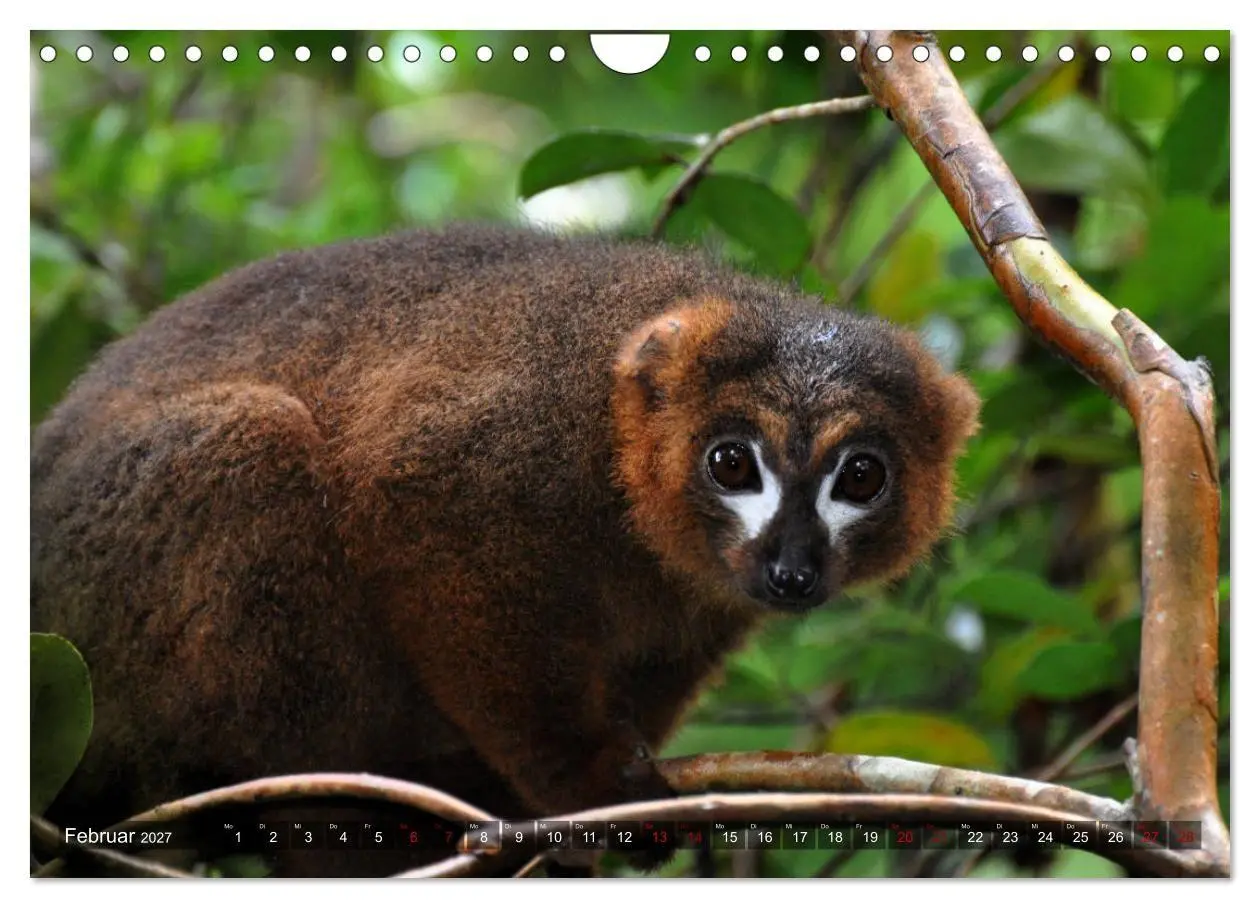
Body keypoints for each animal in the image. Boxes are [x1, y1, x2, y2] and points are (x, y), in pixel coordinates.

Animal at [30, 223, 980, 876]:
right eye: (732, 463)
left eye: (861, 478)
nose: (791, 567)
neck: (618, 471)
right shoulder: (513, 433)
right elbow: (415, 499)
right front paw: (579, 784)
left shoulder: (704, 596)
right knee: (248, 443)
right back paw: (334, 817)